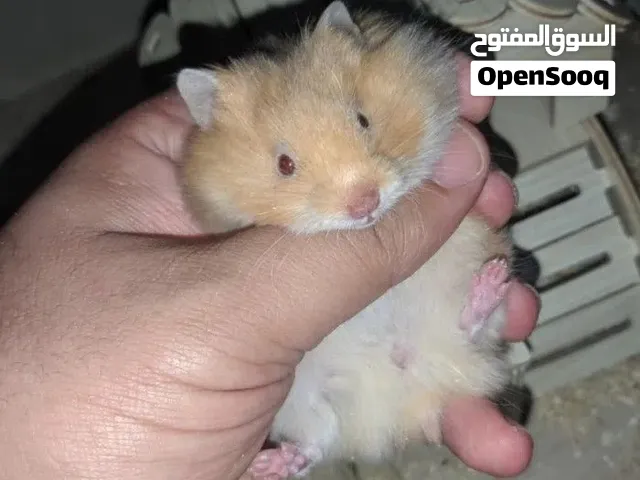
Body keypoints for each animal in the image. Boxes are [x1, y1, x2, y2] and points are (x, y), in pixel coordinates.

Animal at [176, 2, 513, 478]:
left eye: (363, 120)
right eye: (284, 164)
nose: (365, 203)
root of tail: (397, 414)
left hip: (461, 289)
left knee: (469, 327)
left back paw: (491, 284)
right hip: (300, 400)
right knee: (319, 442)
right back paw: (274, 464)